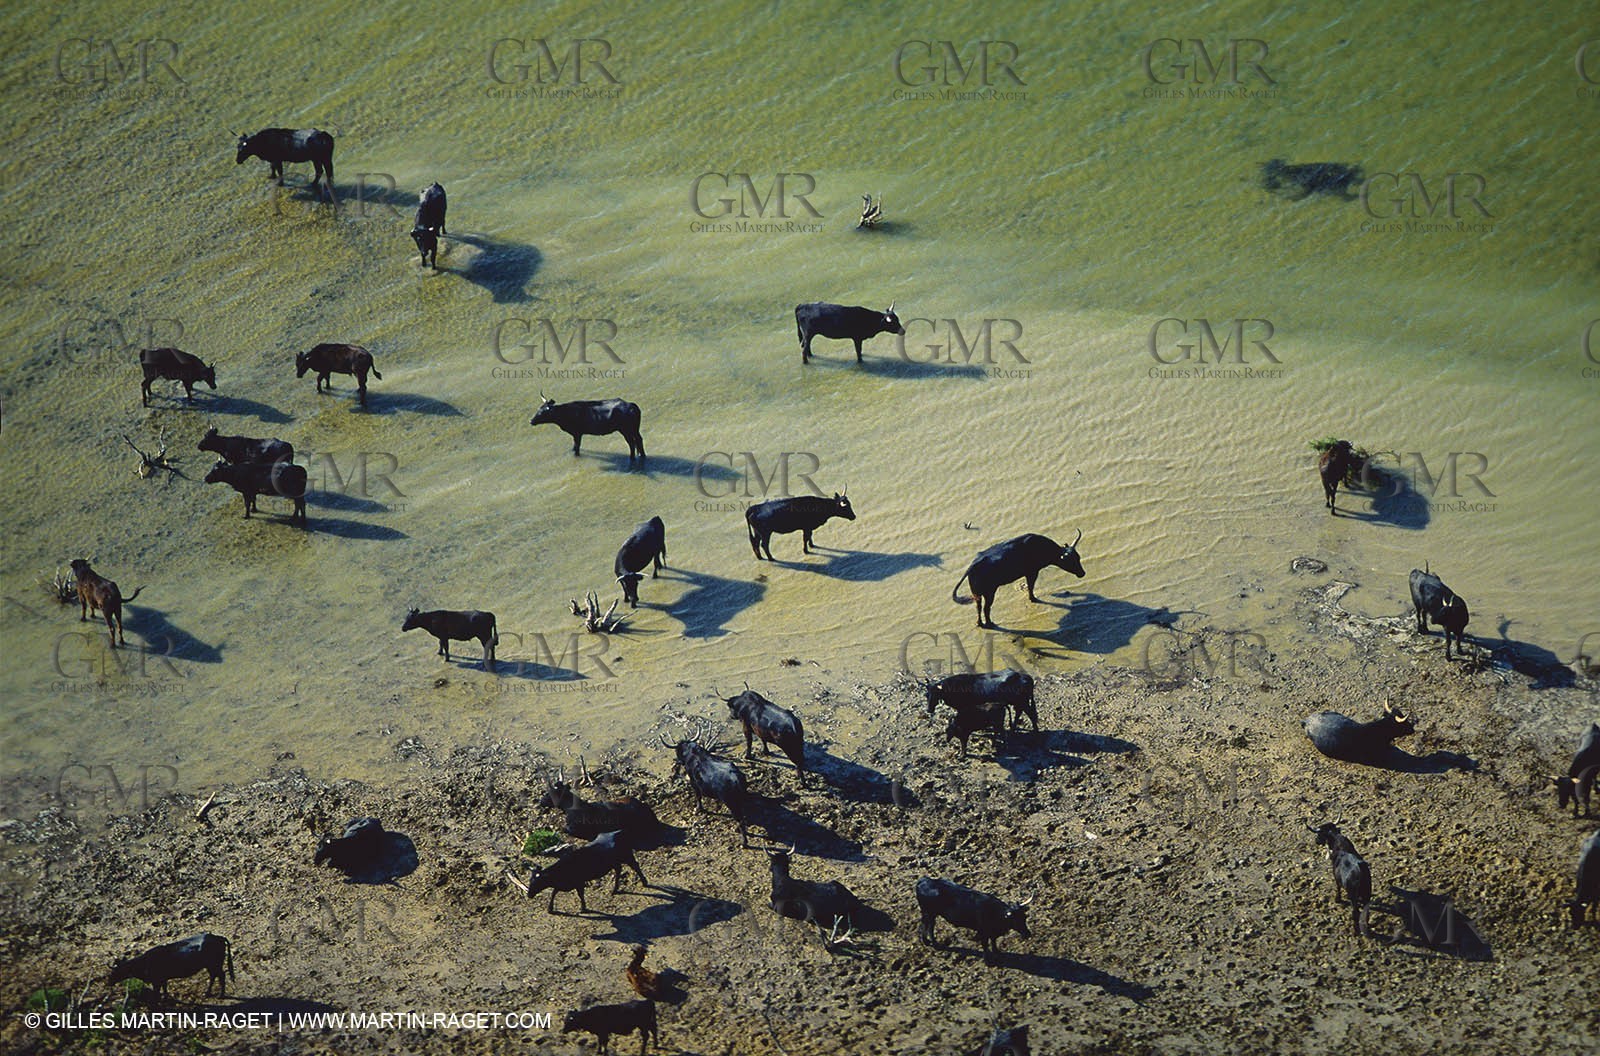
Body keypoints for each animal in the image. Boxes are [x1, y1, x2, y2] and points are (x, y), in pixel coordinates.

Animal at [952, 531, 1084, 629]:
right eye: (1070, 560)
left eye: (1078, 557)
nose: (1082, 573)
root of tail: (973, 564)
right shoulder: (1032, 572)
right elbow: (1031, 586)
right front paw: (1033, 598)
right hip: (989, 593)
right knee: (986, 608)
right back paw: (990, 623)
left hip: (976, 593)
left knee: (978, 607)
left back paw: (979, 623)